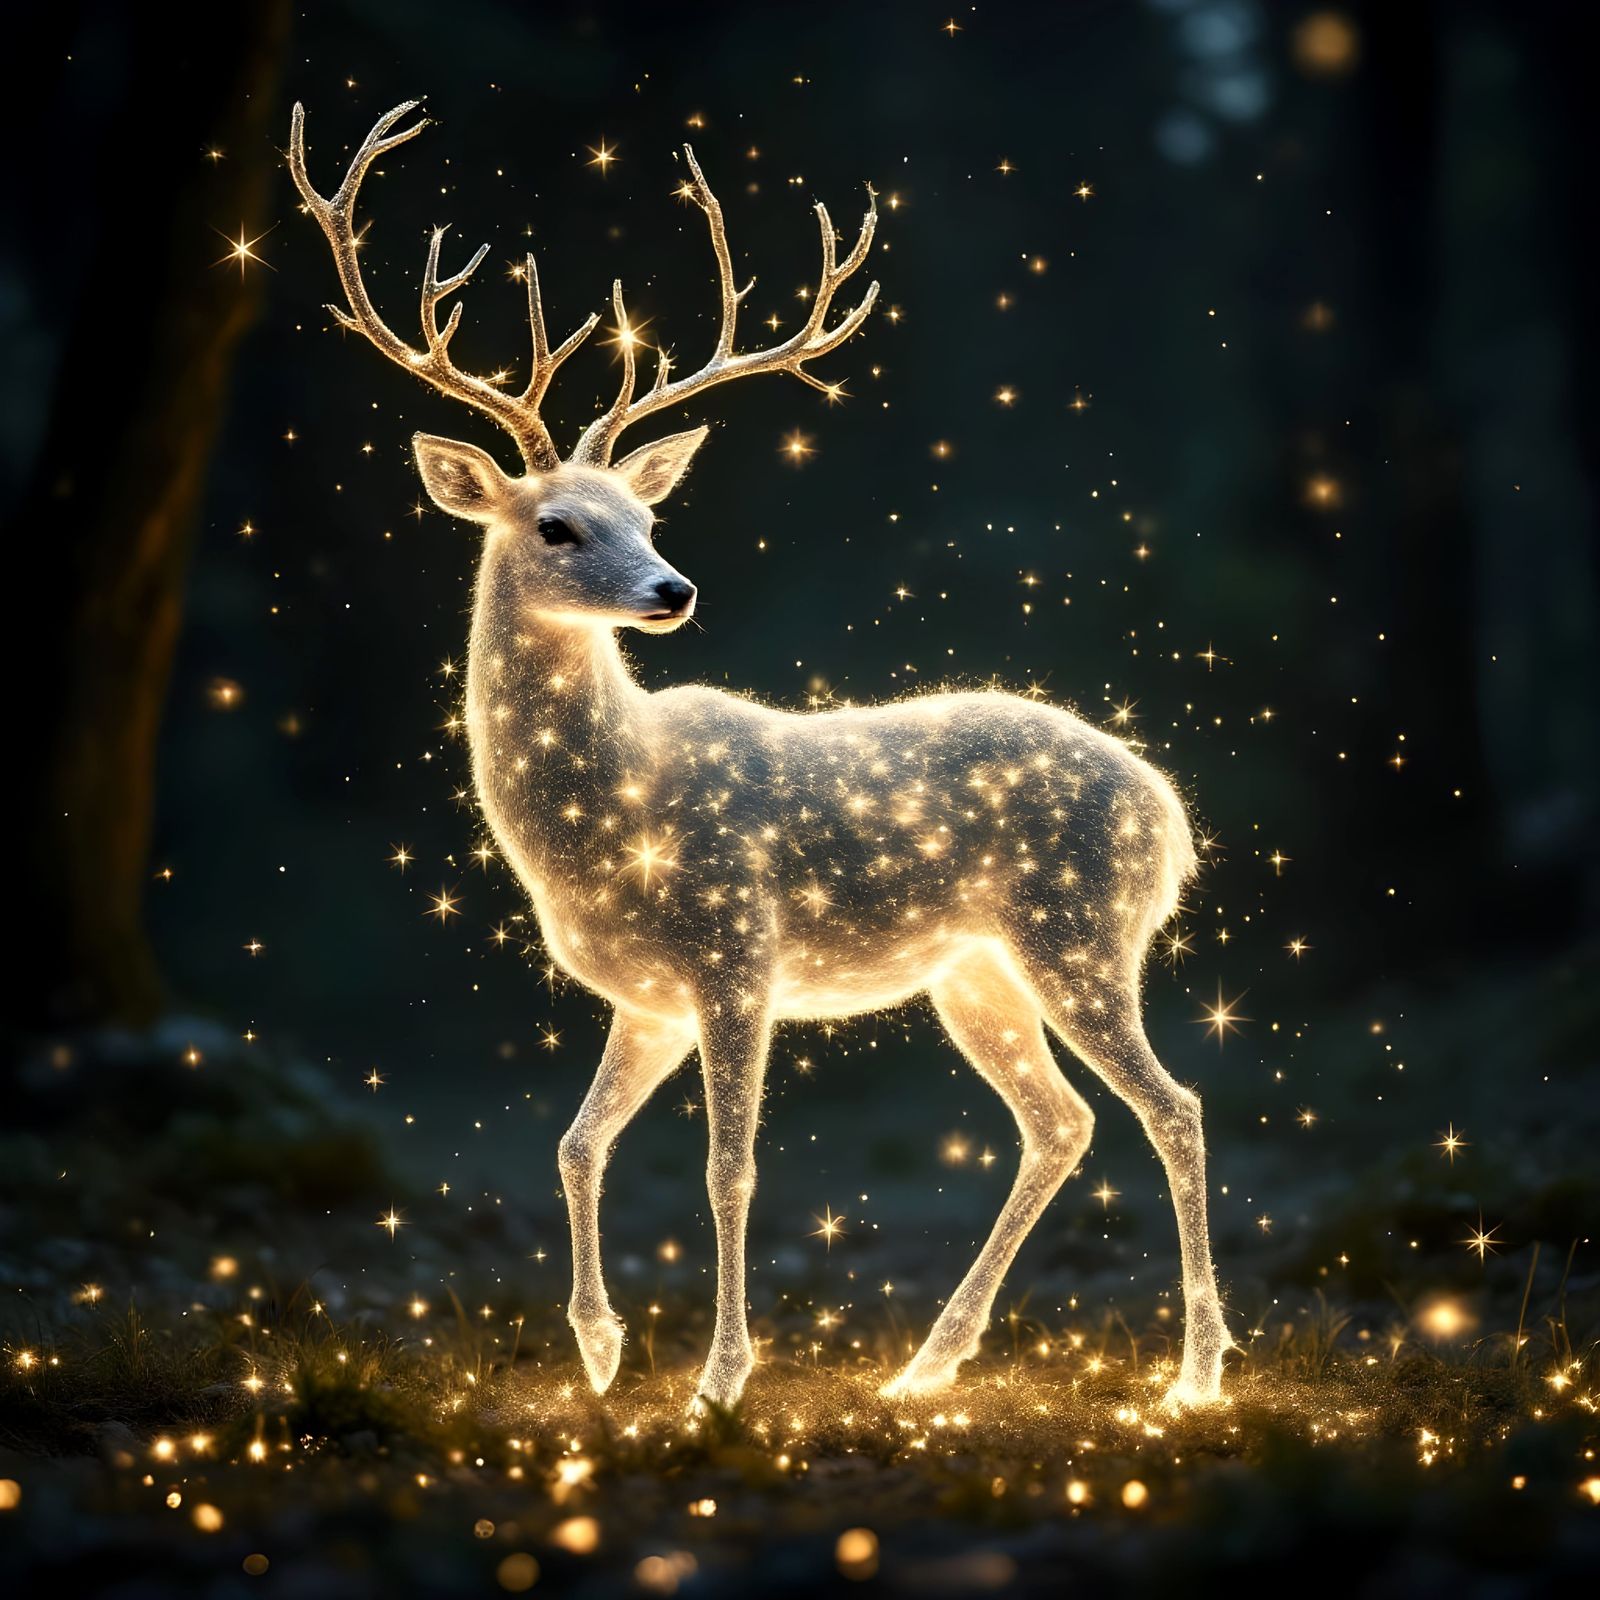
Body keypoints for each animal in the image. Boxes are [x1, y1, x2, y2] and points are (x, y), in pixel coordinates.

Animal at [289, 101, 1233, 1412]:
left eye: (649, 517)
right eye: (556, 524)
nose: (673, 590)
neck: (601, 826)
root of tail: (1167, 806)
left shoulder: (736, 952)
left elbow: (726, 1166)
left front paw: (720, 1380)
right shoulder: (644, 995)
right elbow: (577, 1144)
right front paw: (599, 1353)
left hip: (1076, 928)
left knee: (1173, 1106)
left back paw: (1191, 1377)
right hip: (973, 967)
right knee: (1059, 1121)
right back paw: (925, 1366)